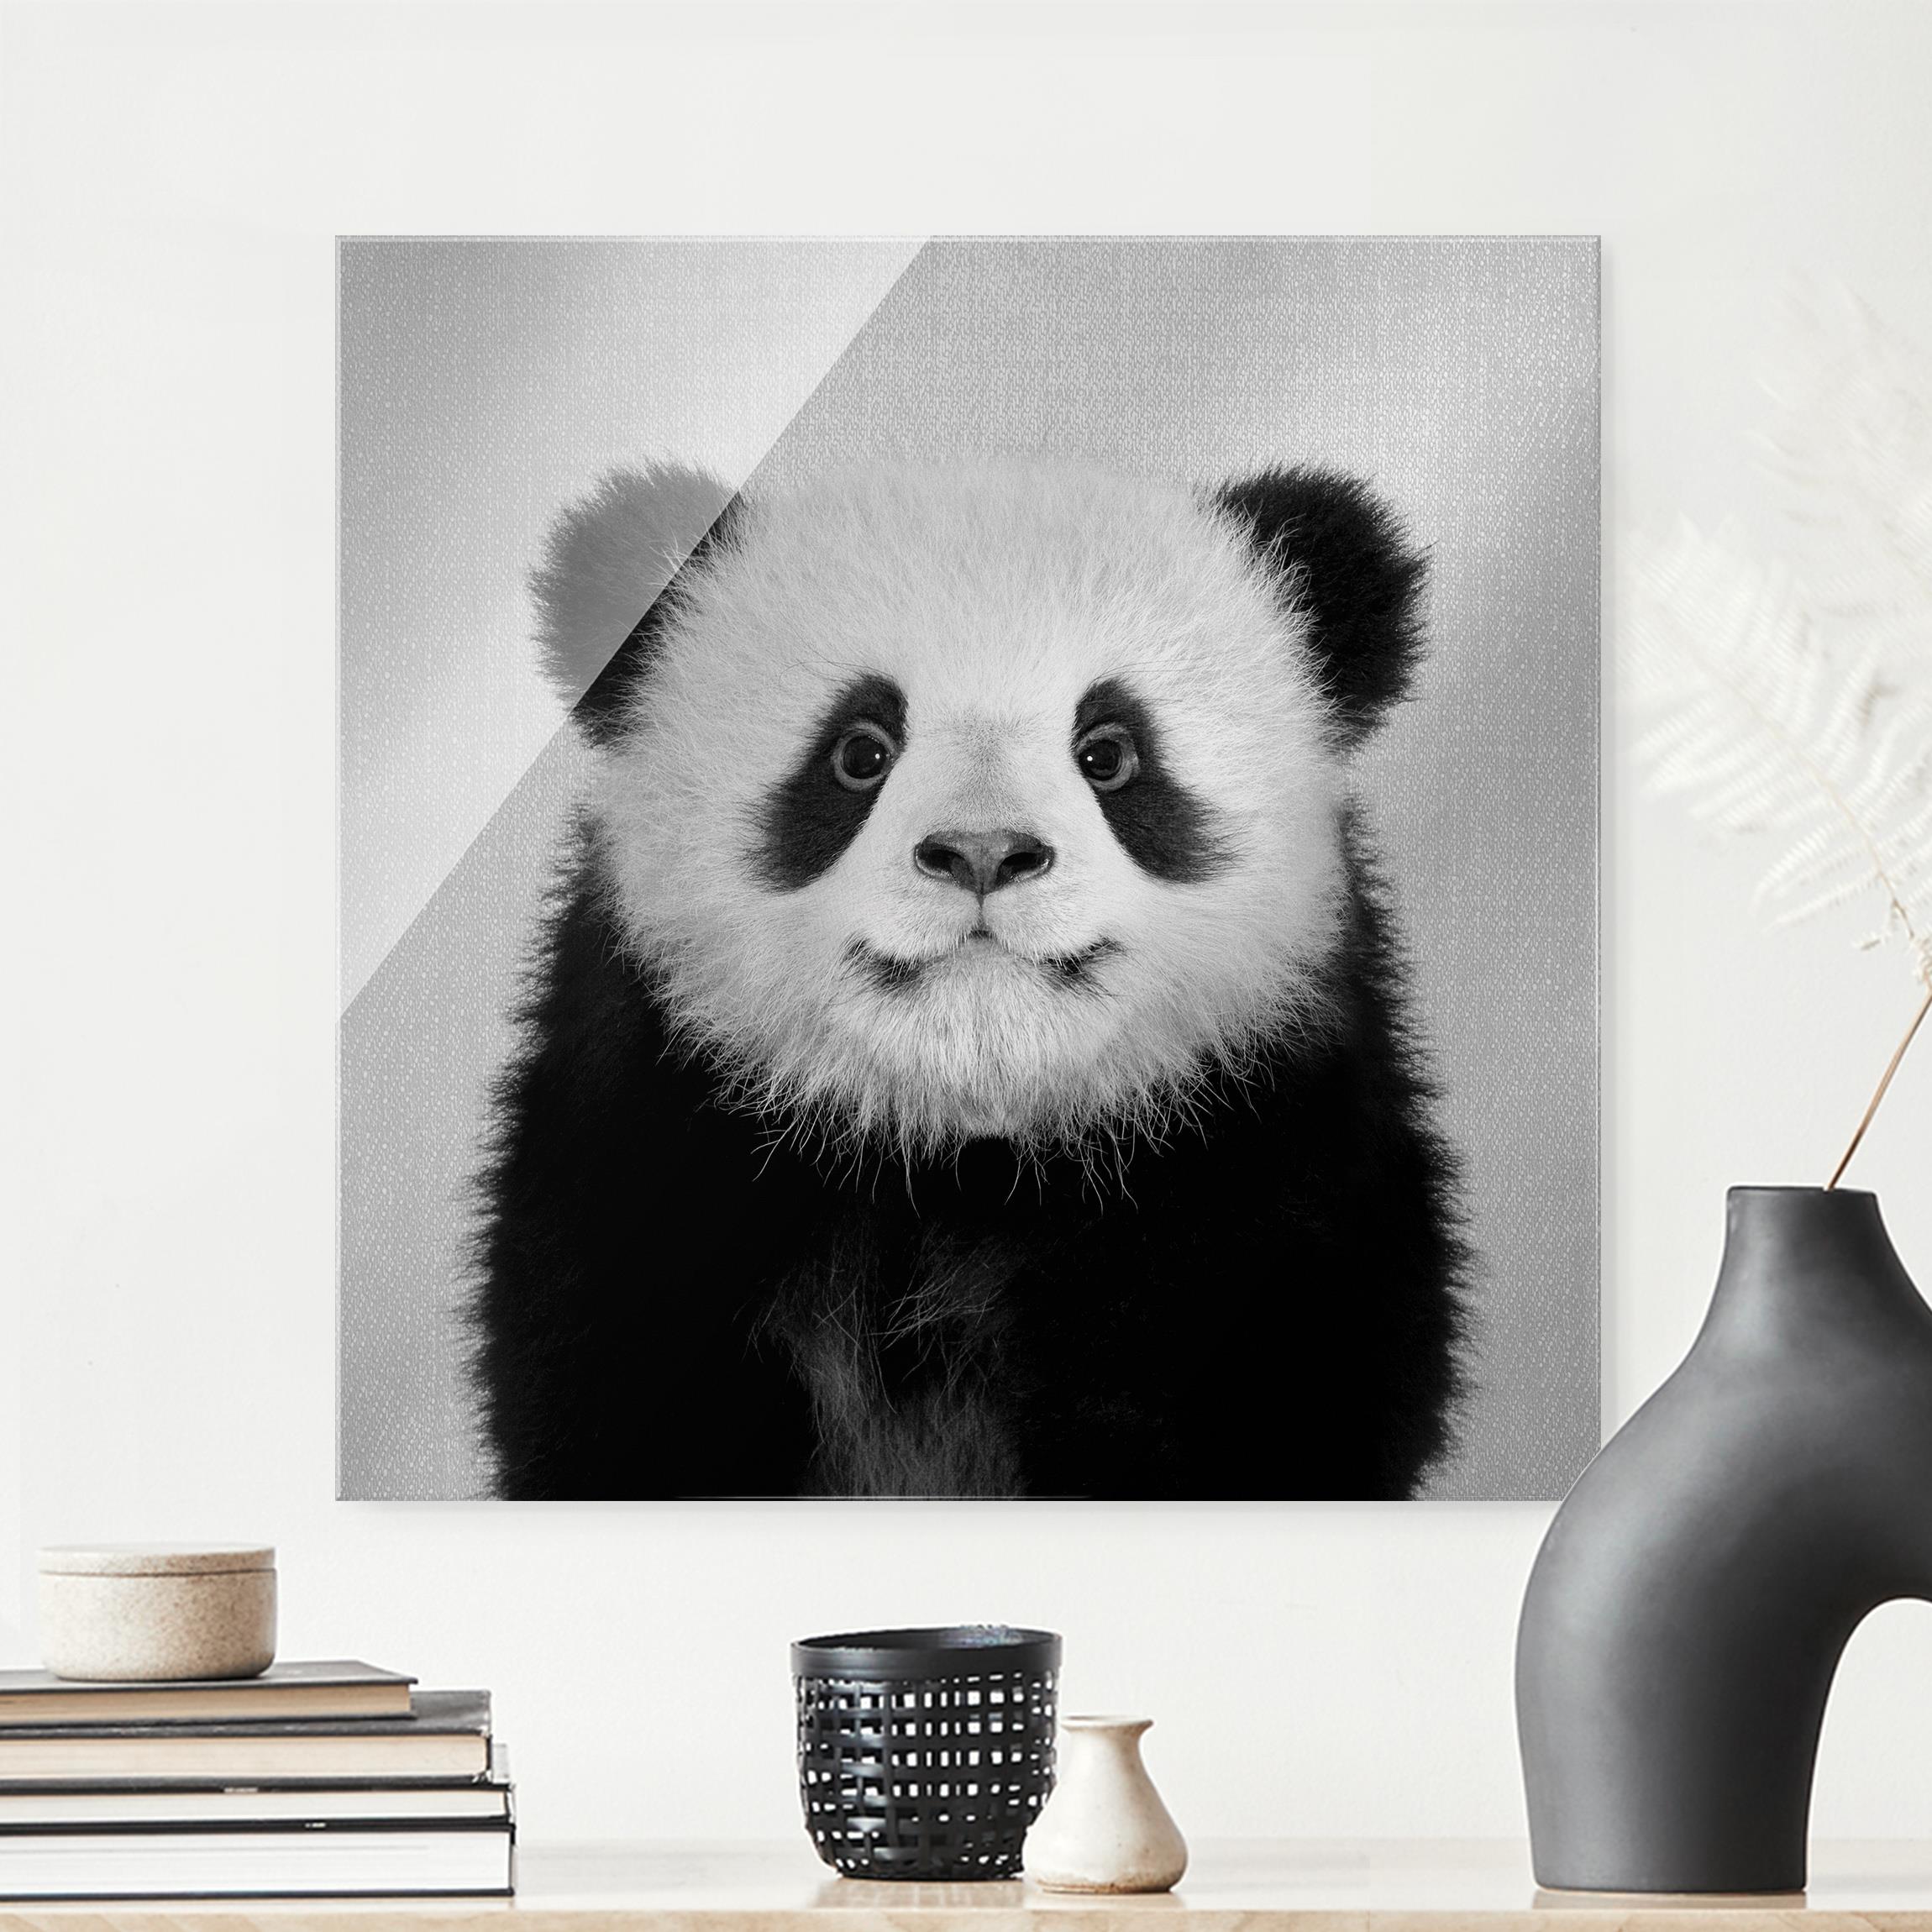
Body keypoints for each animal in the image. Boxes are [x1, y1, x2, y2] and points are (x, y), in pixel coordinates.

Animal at [470, 457, 1468, 1500]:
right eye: (858, 751)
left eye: (1107, 752)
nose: (983, 851)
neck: (958, 1154)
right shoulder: (651, 1148)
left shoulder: (1259, 1159)